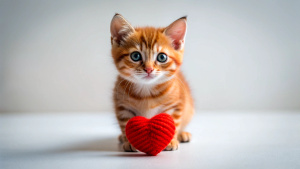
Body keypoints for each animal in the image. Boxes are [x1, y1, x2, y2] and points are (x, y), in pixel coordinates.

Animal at [110, 13, 195, 151]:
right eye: (135, 56)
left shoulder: (175, 105)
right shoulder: (123, 106)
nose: (149, 69)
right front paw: (129, 141)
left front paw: (171, 141)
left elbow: (173, 122)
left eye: (162, 57)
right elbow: (126, 123)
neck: (146, 91)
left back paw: (183, 134)